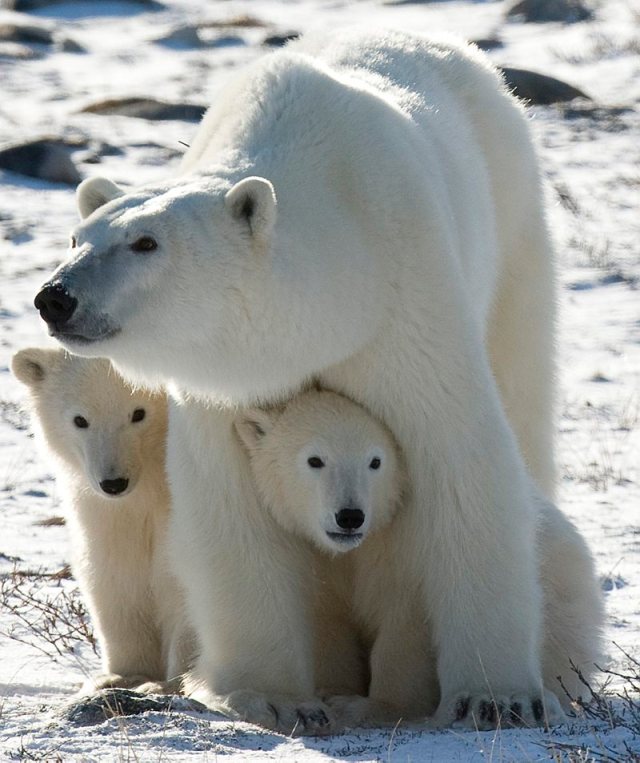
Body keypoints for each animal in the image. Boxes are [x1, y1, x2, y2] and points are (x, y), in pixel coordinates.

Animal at [11, 348, 193, 695]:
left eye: (139, 413)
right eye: (80, 420)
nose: (114, 483)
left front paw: (170, 684)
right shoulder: (104, 511)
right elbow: (114, 572)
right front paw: (122, 676)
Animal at [237, 390, 604, 729]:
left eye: (375, 461)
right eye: (315, 460)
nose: (350, 516)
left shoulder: (410, 547)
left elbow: (406, 627)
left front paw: (370, 707)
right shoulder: (316, 560)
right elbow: (328, 624)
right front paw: (331, 693)